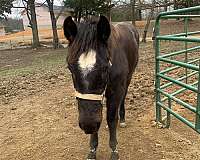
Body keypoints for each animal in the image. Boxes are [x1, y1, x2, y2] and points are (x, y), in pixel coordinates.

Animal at [63, 15, 138, 159]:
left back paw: (122, 119)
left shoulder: (116, 91)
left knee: (123, 99)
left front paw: (114, 150)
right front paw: (92, 150)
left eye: (105, 68)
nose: (88, 125)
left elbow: (111, 118)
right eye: (70, 68)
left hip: (128, 79)